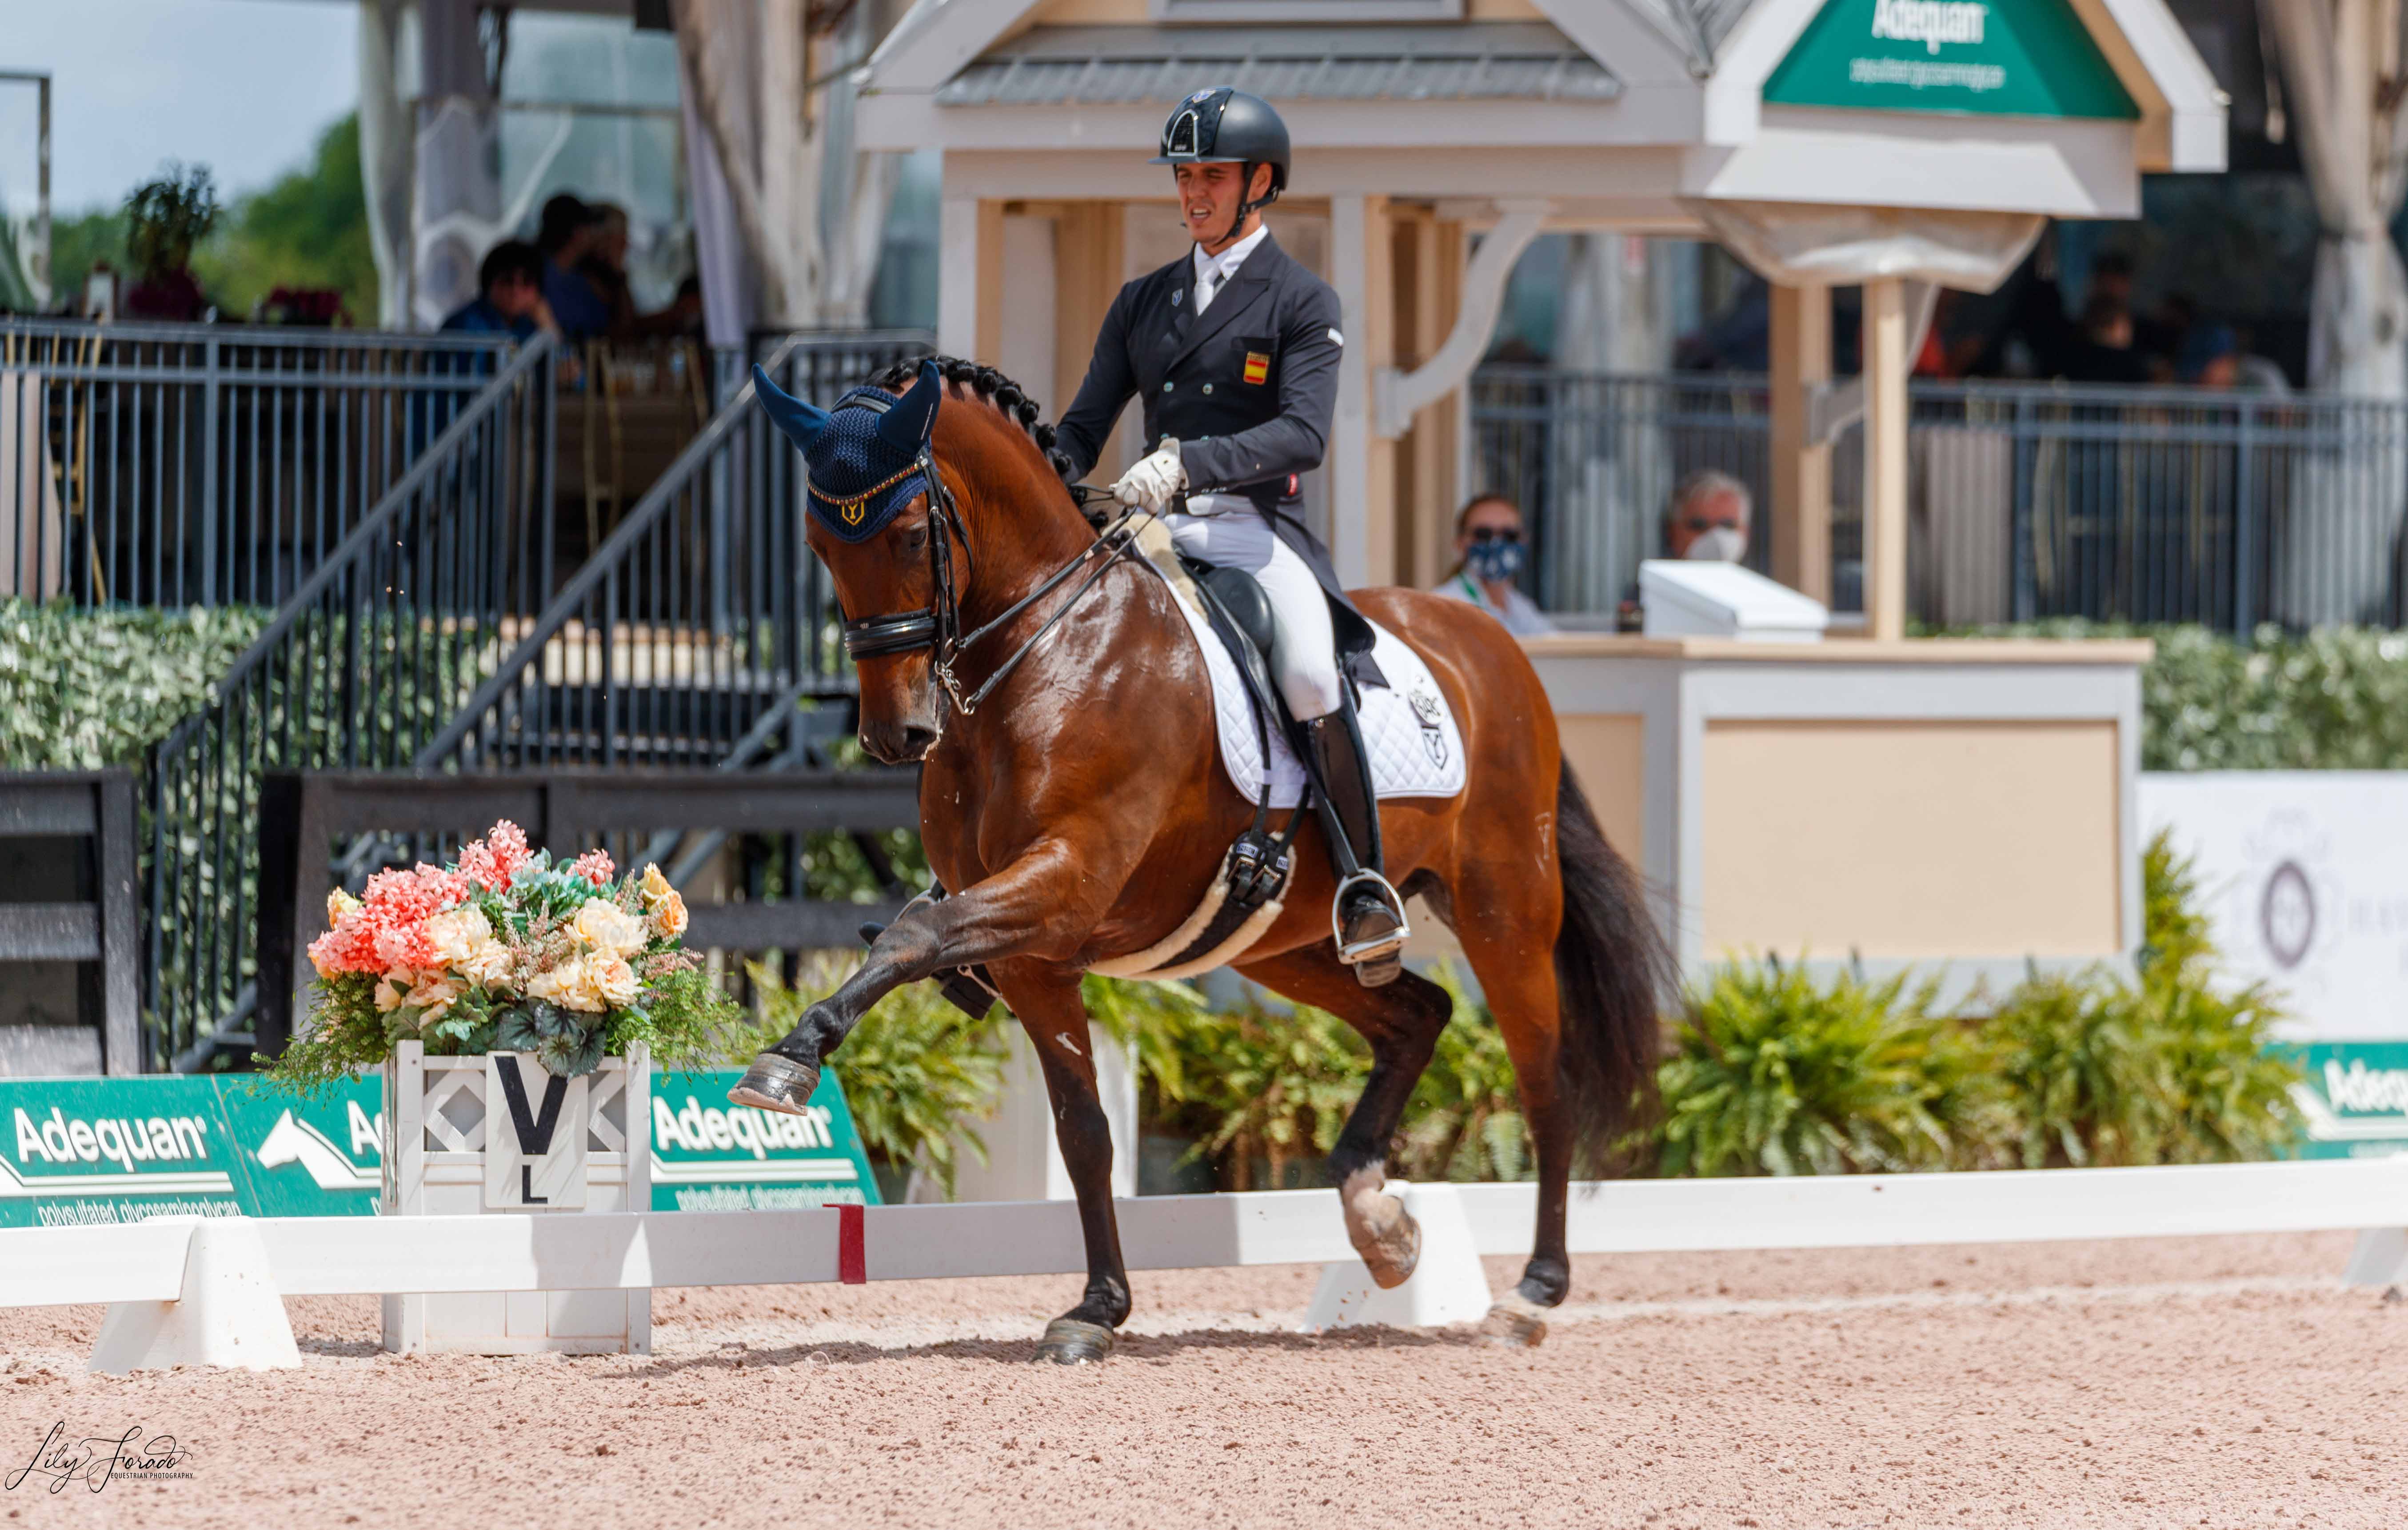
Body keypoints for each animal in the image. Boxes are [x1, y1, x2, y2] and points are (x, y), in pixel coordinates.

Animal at [742, 359, 1666, 1368]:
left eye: (911, 533)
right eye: (819, 544)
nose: (894, 732)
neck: (1046, 648)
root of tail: (1487, 639)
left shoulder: (1062, 883)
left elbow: (912, 934)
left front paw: (789, 1058)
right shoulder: (1034, 955)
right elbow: (1084, 1133)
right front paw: (1097, 1306)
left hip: (1504, 906)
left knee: (1544, 1080)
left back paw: (1529, 1292)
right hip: (1284, 943)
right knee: (1417, 1015)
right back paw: (1379, 1221)